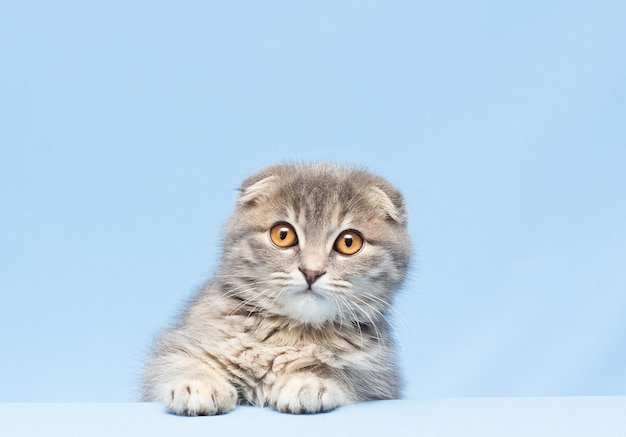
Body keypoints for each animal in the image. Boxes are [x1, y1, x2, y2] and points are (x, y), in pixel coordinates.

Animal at [141, 162, 410, 414]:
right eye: (283, 235)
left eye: (349, 242)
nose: (311, 272)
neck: (290, 333)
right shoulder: (181, 343)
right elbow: (176, 363)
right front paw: (198, 385)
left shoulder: (377, 375)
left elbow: (342, 375)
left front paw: (307, 382)